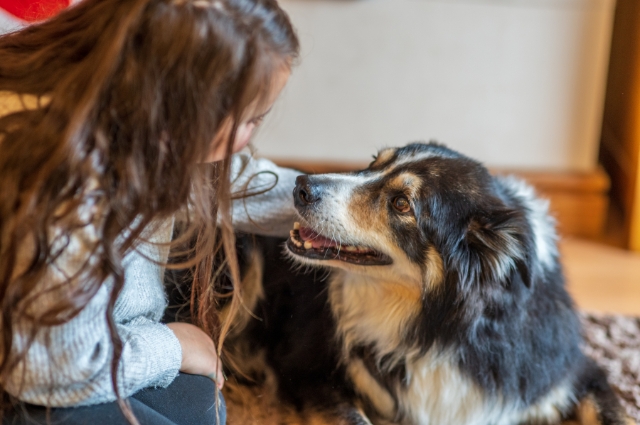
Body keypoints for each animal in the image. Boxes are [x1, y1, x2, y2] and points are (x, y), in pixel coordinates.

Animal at [221, 142, 632, 424]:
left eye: (402, 203)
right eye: (374, 162)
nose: (301, 185)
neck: (440, 329)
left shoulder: (570, 374)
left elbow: (617, 415)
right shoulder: (308, 369)